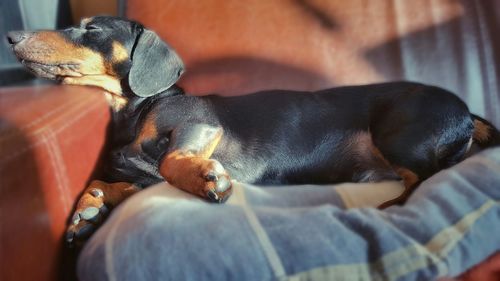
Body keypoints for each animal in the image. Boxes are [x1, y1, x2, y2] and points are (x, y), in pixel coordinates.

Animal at [7, 16, 500, 244]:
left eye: (91, 28)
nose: (11, 36)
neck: (137, 110)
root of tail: (467, 111)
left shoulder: (197, 126)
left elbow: (171, 161)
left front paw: (207, 178)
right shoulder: (138, 179)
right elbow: (105, 180)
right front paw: (86, 210)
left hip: (399, 134)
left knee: (430, 177)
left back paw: (397, 203)